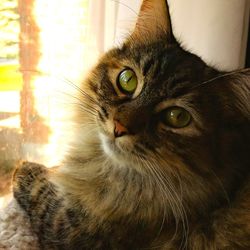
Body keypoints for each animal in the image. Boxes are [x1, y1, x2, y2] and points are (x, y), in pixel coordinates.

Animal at [12, 0, 249, 249]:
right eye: (127, 80)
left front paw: (24, 166)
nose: (119, 126)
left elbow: (38, 184)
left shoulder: (68, 225)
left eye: (177, 117)